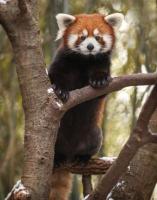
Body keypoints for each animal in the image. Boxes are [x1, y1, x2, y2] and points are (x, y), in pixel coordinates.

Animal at [48, 13, 124, 199]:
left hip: (94, 133)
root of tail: (69, 152)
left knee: (93, 141)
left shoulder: (102, 63)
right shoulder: (62, 61)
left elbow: (102, 88)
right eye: (82, 36)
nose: (90, 46)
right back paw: (57, 157)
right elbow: (54, 77)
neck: (84, 60)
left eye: (98, 37)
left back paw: (82, 157)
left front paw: (99, 80)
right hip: (56, 136)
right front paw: (60, 90)